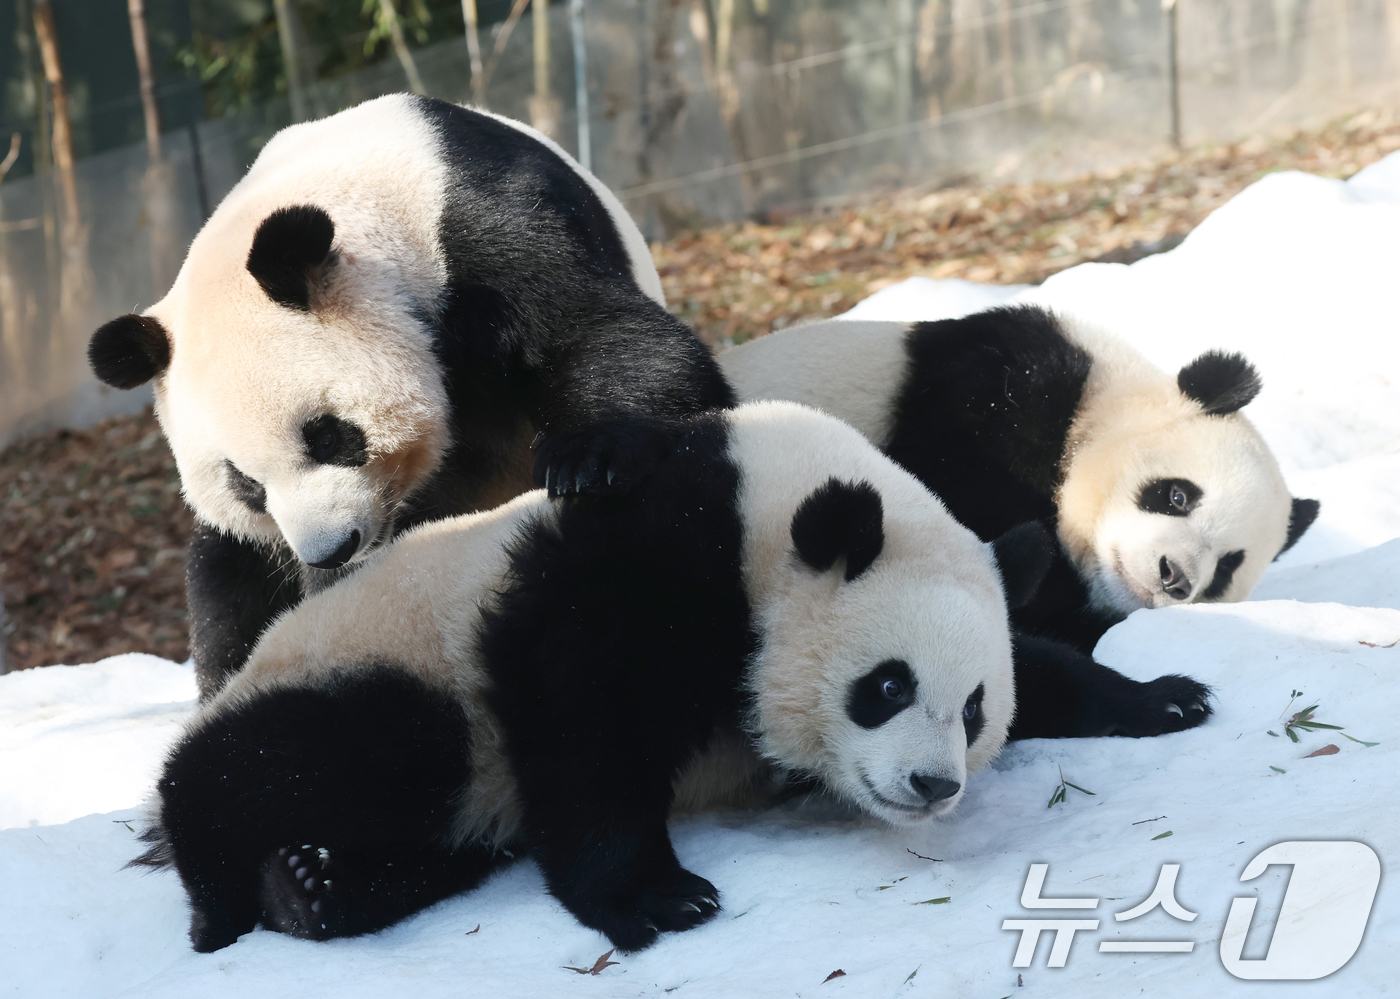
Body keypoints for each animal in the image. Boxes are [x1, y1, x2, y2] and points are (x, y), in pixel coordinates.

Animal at [84, 93, 733, 699]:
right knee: (224, 582)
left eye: (328, 436)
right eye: (245, 484)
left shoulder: (488, 225)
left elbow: (601, 331)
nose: (330, 550)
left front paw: (585, 464)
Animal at [126, 402, 1209, 951]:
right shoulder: (652, 560)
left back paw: (312, 885)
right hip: (384, 667)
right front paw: (658, 897)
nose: (931, 784)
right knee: (308, 756)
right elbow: (580, 713)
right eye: (886, 687)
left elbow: (1043, 654)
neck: (769, 505)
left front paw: (1165, 696)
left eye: (975, 709)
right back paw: (230, 890)